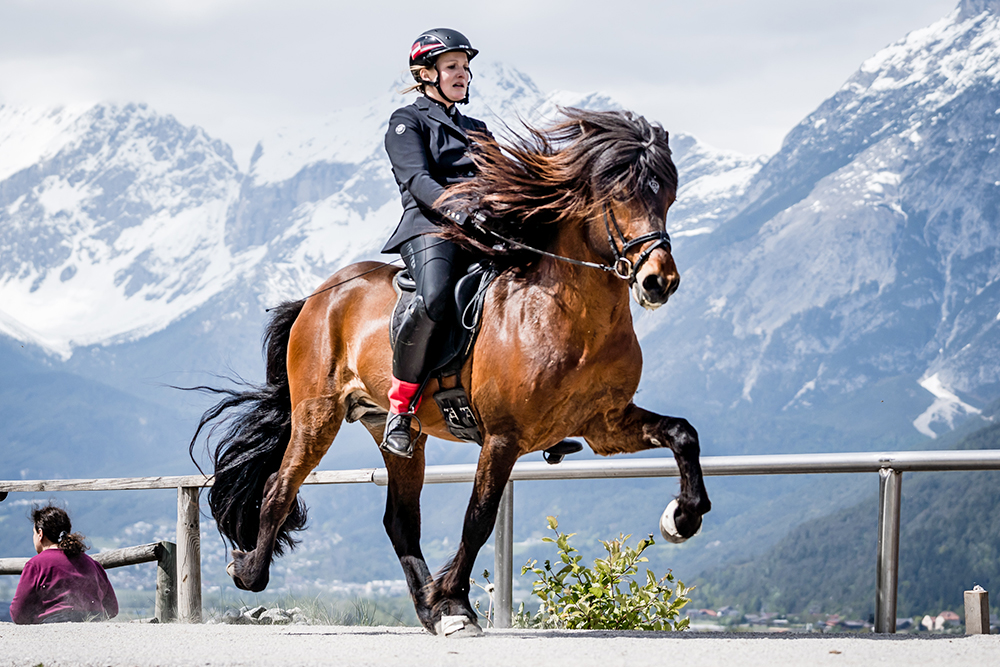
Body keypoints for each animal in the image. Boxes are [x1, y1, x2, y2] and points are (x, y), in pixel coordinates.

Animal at [188, 108, 716, 636]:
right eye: (619, 195)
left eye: (668, 196)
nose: (660, 282)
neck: (568, 315)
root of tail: (319, 297)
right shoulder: (503, 436)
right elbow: (478, 518)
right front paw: (455, 597)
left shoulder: (604, 424)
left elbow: (683, 434)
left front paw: (683, 517)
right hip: (318, 414)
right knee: (279, 487)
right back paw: (249, 572)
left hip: (392, 431)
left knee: (399, 519)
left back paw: (430, 609)